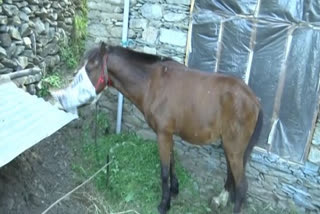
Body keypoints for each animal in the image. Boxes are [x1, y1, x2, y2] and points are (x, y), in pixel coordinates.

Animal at [57, 42, 262, 214]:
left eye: (89, 67)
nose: (63, 101)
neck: (152, 82)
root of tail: (254, 99)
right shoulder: (168, 135)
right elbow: (171, 164)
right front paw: (174, 190)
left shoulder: (163, 135)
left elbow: (164, 171)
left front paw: (164, 204)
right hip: (230, 146)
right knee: (231, 175)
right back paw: (221, 199)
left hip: (233, 147)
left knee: (242, 186)